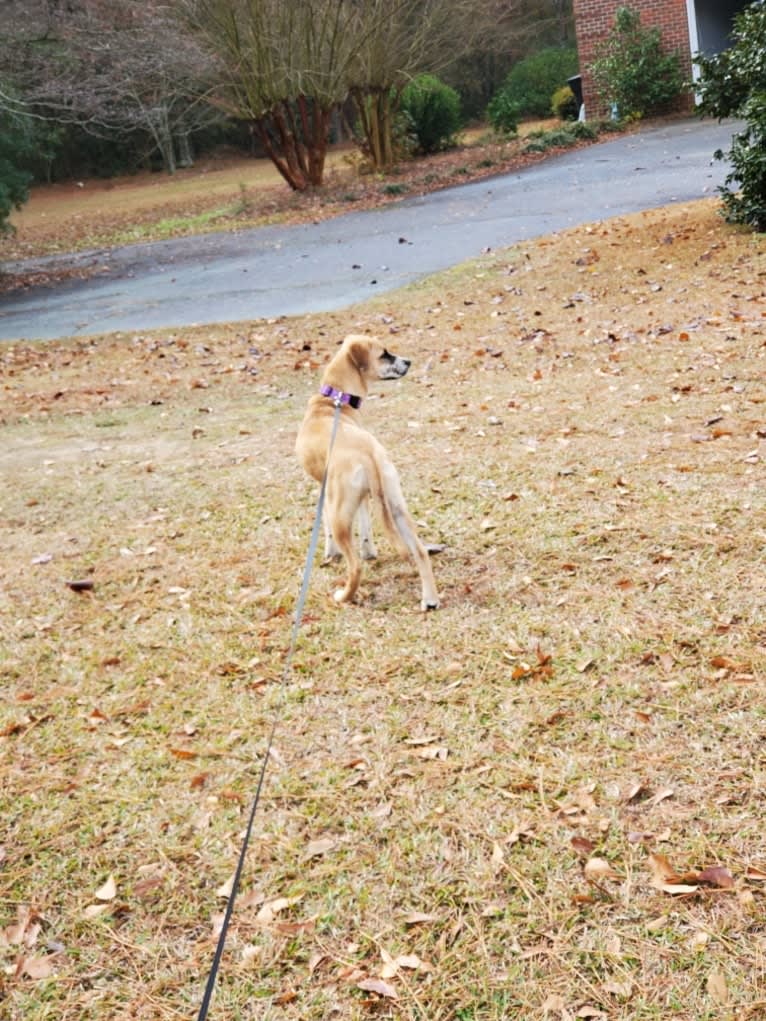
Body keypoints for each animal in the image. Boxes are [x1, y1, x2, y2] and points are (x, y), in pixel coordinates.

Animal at [296, 334, 441, 608]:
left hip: (341, 515)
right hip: (395, 504)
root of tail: (368, 454)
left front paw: (330, 553)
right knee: (419, 551)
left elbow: (324, 524)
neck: (334, 400)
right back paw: (430, 600)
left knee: (355, 568)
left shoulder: (325, 492)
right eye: (384, 354)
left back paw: (344, 596)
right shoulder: (364, 496)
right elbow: (365, 523)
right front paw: (369, 550)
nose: (408, 361)